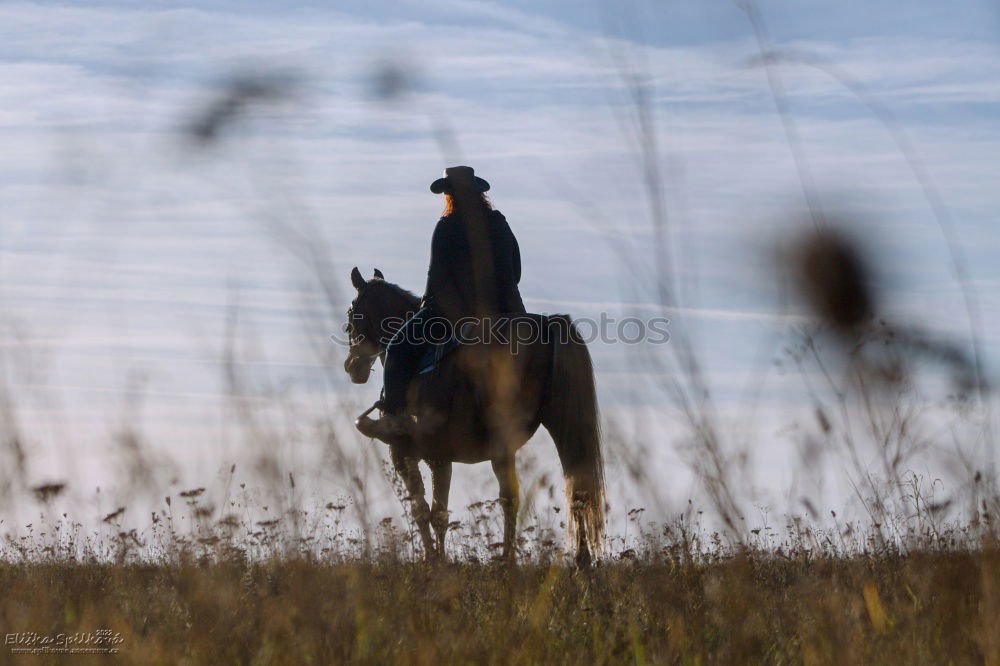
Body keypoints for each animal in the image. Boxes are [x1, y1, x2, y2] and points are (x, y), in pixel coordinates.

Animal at [344, 266, 604, 564]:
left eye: (351, 317)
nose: (351, 366)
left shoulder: (409, 455)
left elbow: (424, 510)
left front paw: (433, 560)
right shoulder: (440, 457)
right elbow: (437, 512)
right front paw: (438, 560)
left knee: (510, 498)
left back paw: (507, 560)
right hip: (562, 427)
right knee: (577, 488)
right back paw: (581, 560)